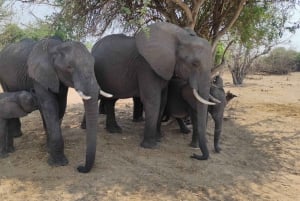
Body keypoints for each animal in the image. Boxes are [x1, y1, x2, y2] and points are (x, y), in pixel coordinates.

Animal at [0, 37, 111, 173]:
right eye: (69, 67)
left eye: (93, 65)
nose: (80, 167)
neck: (57, 47)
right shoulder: (39, 76)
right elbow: (50, 106)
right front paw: (59, 163)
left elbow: (61, 106)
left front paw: (49, 148)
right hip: (3, 78)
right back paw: (16, 136)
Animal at [81, 22, 214, 160]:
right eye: (195, 64)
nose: (193, 154)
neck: (180, 36)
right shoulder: (146, 67)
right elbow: (153, 100)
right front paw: (151, 146)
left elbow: (162, 101)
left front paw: (159, 138)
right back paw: (86, 128)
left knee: (111, 100)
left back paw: (114, 130)